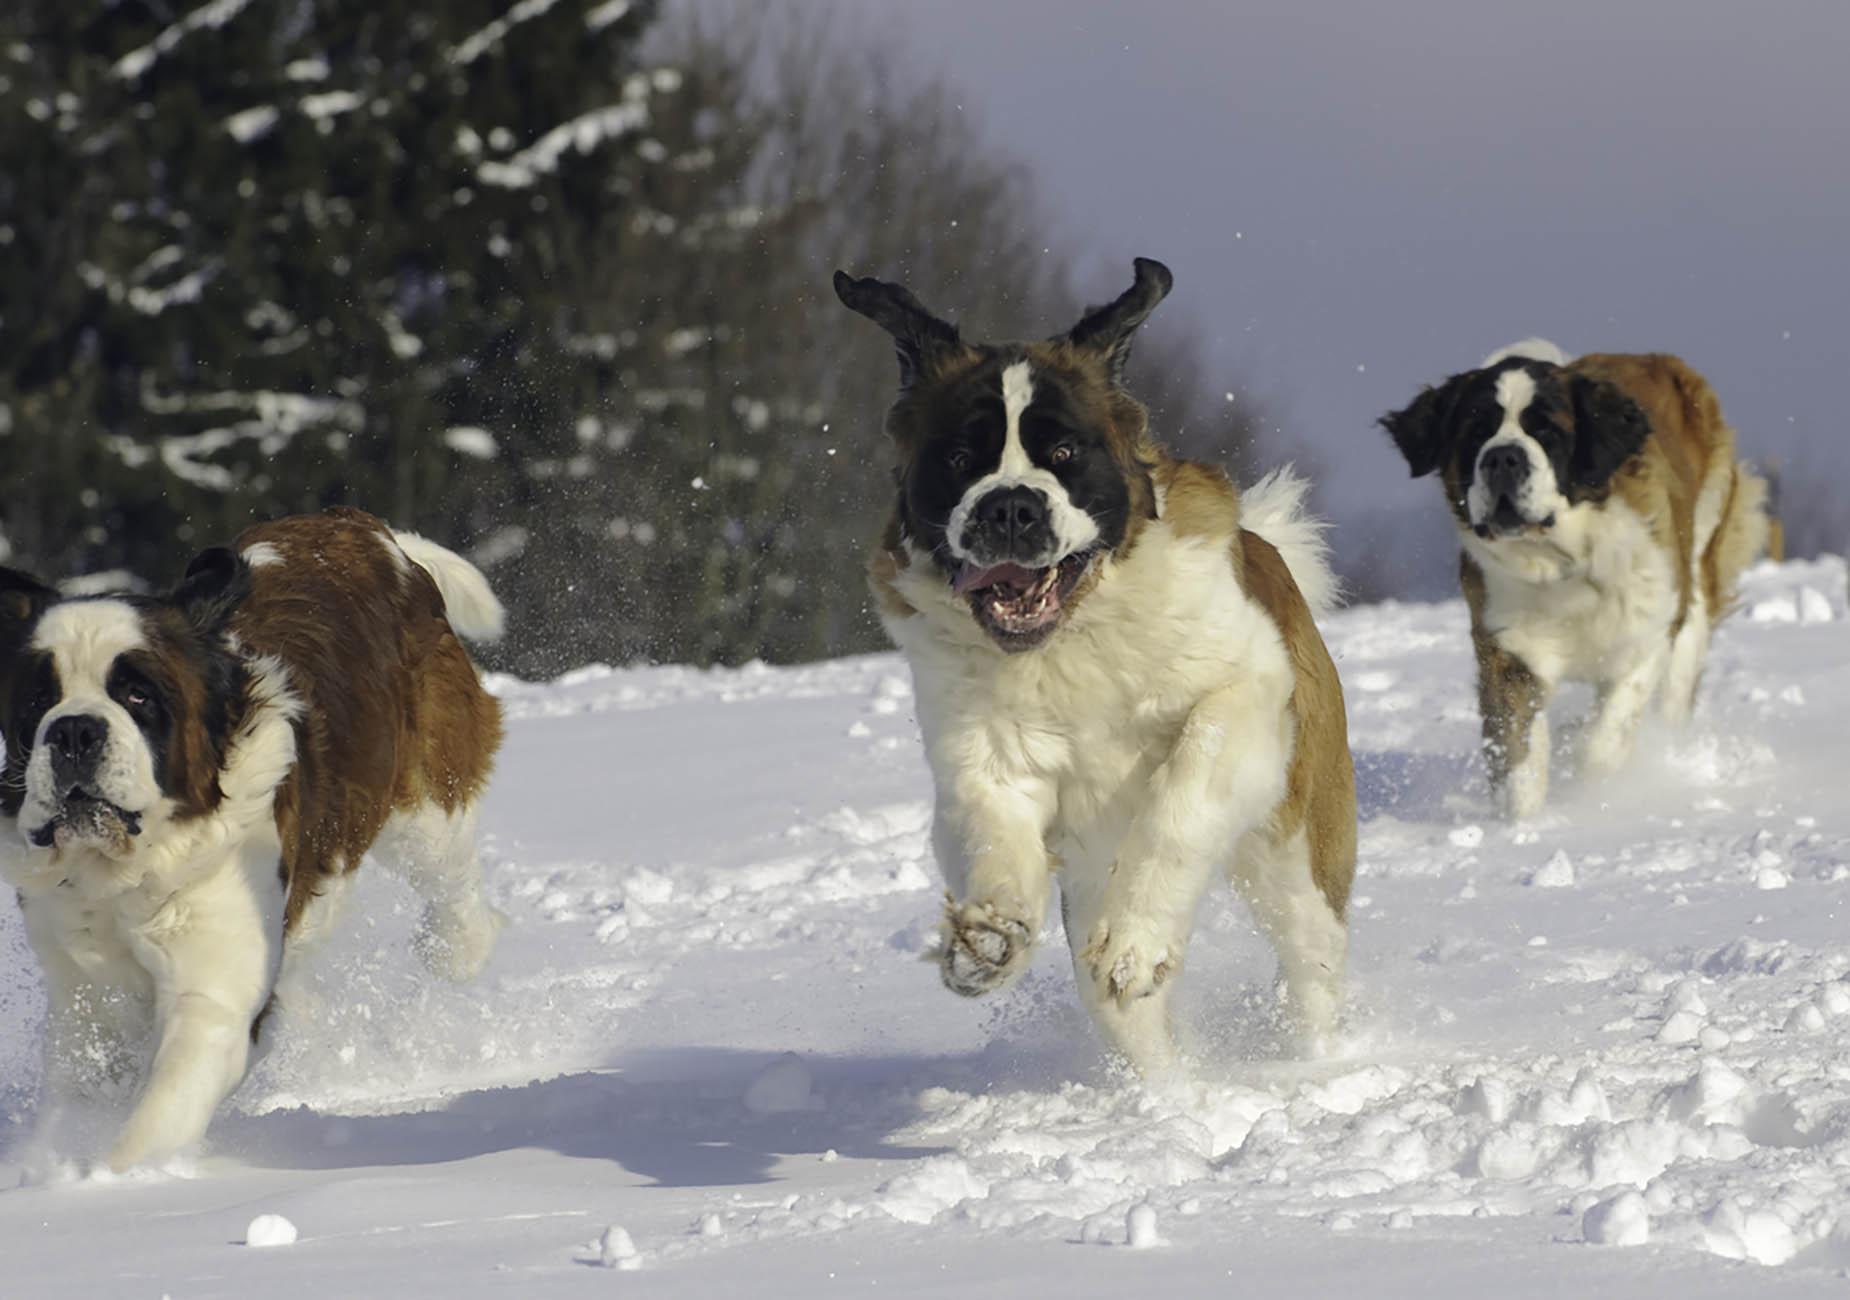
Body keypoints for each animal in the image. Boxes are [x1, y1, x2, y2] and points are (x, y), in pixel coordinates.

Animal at [0, 506, 506, 1168]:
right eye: (39, 699)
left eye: (137, 694)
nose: (74, 730)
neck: (130, 872)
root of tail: (363, 526)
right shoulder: (88, 1001)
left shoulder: (210, 997)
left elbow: (150, 1123)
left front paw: (109, 1181)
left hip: (425, 799)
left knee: (453, 883)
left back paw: (456, 949)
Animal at [839, 258, 1361, 1072]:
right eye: (960, 460)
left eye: (1063, 455)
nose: (1009, 508)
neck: (1071, 634)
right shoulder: (979, 754)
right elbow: (990, 828)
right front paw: (989, 938)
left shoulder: (1246, 690)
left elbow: (1184, 794)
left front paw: (1138, 939)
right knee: (1124, 1019)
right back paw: (1173, 1094)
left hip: (1297, 850)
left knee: (1309, 963)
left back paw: (1306, 1059)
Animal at [1383, 340, 1768, 817]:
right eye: (1477, 432)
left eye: (1547, 432)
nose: (1502, 456)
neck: (1559, 560)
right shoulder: (1509, 653)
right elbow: (1520, 753)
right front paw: (1522, 822)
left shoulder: (1648, 630)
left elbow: (1603, 741)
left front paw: (1590, 791)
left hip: (1700, 563)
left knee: (1679, 679)